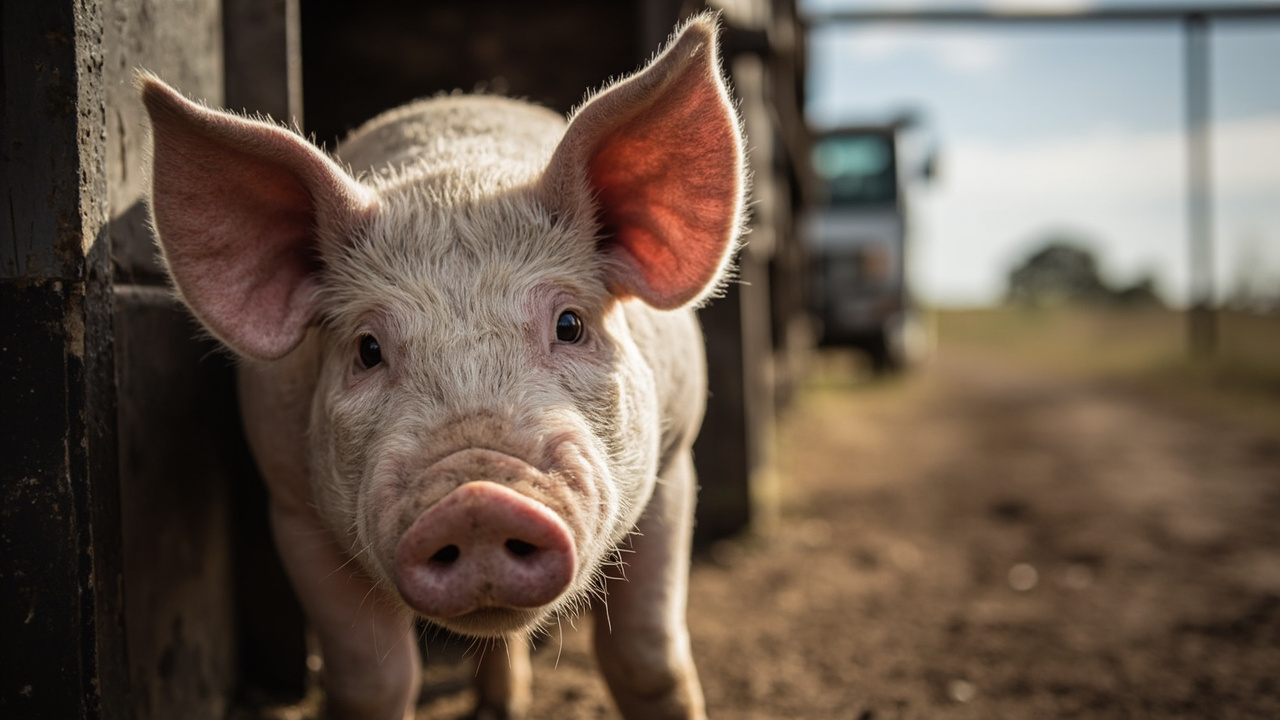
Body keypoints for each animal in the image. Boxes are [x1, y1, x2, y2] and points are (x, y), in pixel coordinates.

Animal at [139, 12, 745, 720]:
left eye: (570, 325)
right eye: (367, 349)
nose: (477, 498)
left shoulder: (673, 464)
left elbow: (646, 656)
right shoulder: (292, 505)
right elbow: (373, 681)